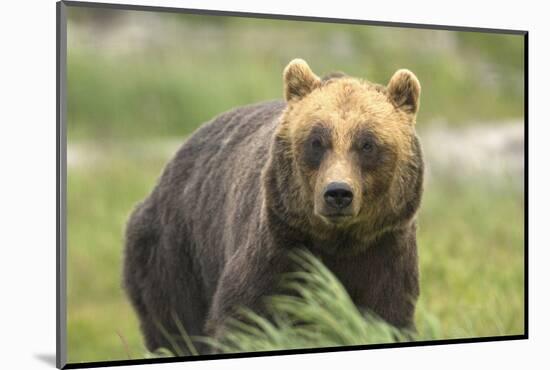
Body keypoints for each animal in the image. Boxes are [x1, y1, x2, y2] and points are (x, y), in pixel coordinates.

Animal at [124, 59, 426, 354]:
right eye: (316, 142)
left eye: (367, 144)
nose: (338, 193)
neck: (338, 241)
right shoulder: (279, 244)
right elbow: (245, 316)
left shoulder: (384, 250)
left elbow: (386, 315)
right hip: (175, 251)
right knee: (176, 325)